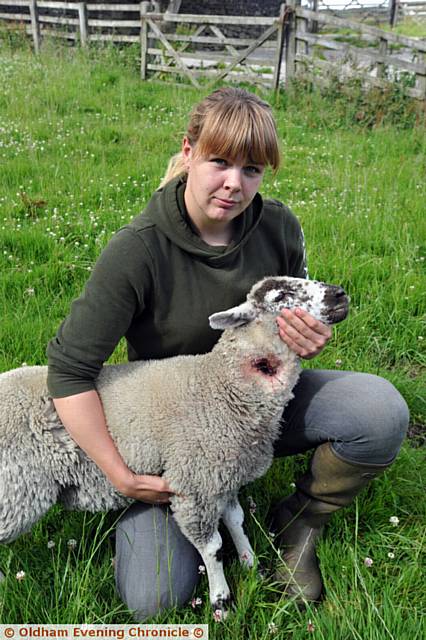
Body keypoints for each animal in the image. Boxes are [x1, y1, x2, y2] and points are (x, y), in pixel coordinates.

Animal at [0, 276, 350, 620]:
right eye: (280, 295)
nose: (339, 294)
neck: (222, 385)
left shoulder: (224, 477)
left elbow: (236, 521)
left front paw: (251, 564)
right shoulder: (194, 485)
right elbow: (213, 547)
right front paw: (221, 601)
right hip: (15, 490)